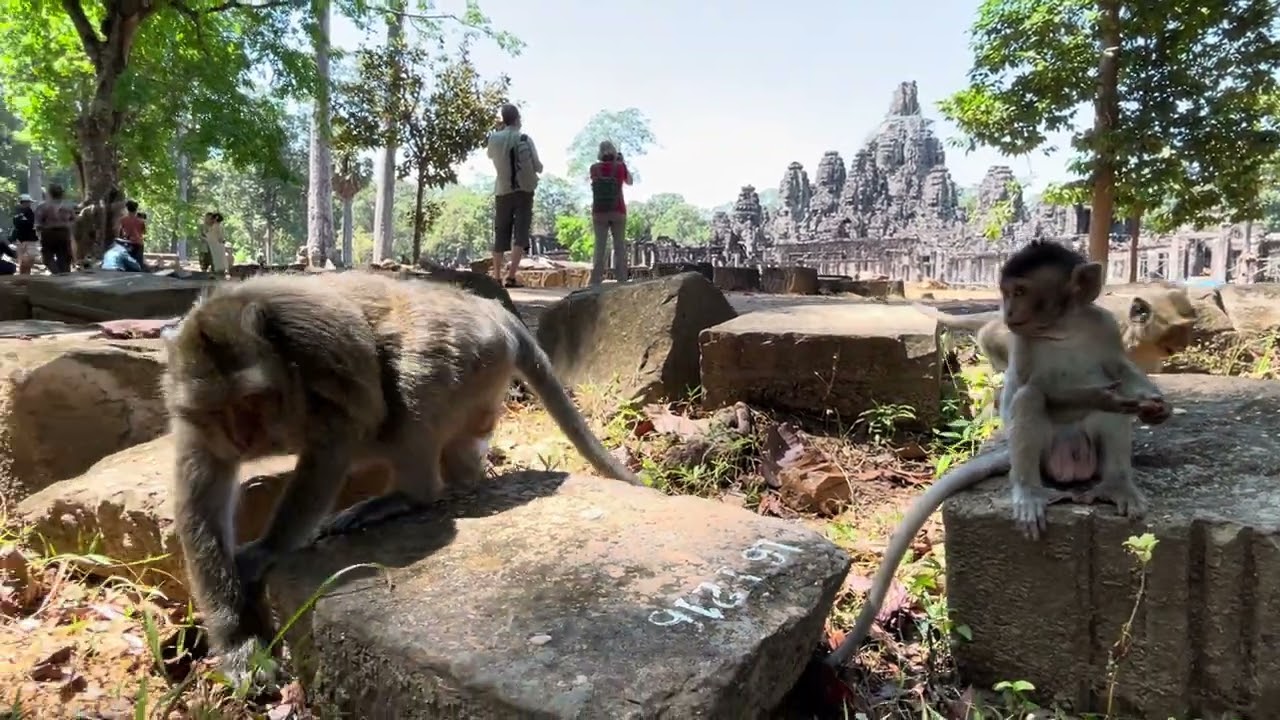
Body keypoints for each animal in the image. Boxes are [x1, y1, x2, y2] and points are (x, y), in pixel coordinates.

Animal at [160, 270, 642, 685]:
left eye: (251, 401)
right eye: (217, 410)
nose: (243, 438)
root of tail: (493, 309)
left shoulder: (314, 342)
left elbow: (346, 429)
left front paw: (266, 550)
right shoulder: (196, 425)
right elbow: (200, 510)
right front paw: (239, 646)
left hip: (472, 347)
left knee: (410, 384)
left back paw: (407, 497)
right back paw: (464, 479)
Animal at [824, 240, 1172, 669]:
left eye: (1020, 291)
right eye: (1006, 292)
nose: (1006, 311)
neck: (1063, 329)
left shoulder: (1104, 325)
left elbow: (1121, 371)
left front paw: (1154, 404)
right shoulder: (1020, 341)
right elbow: (1027, 393)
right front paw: (1104, 395)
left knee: (1103, 421)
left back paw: (1116, 484)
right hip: (1046, 457)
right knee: (1029, 399)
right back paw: (1028, 492)